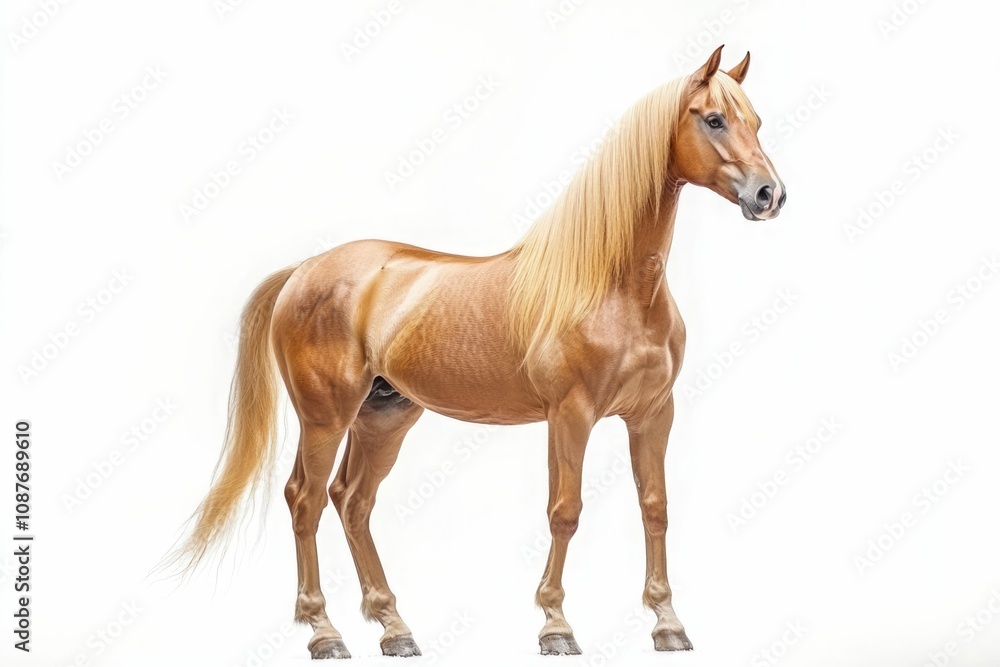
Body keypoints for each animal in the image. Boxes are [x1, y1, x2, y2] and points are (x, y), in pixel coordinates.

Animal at [173, 45, 786, 659]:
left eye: (756, 121)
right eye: (714, 119)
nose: (769, 196)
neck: (610, 287)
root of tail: (303, 271)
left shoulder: (654, 413)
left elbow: (654, 507)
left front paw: (667, 622)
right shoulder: (570, 415)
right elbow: (565, 511)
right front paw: (555, 625)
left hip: (384, 416)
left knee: (352, 501)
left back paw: (394, 627)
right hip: (325, 416)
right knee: (306, 499)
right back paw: (324, 631)